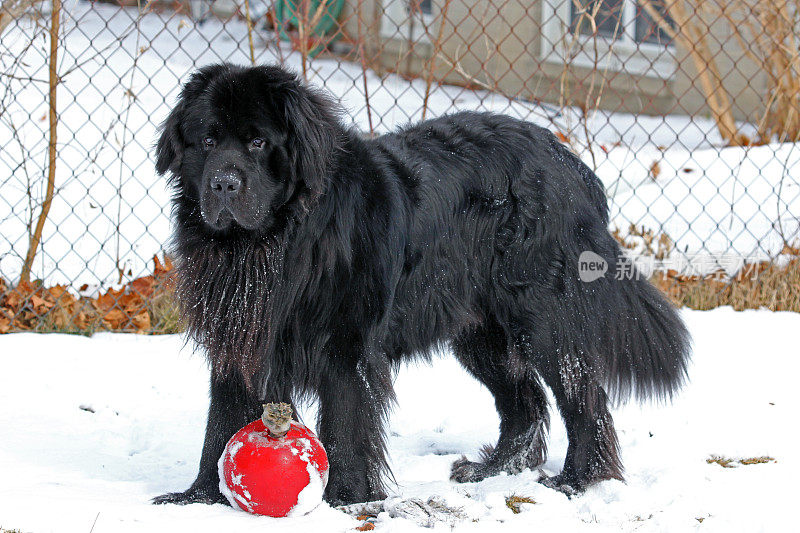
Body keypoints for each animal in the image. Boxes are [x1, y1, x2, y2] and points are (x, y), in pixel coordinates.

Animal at [153, 63, 692, 508]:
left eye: (258, 143)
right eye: (207, 142)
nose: (223, 184)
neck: (276, 242)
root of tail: (575, 166)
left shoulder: (345, 344)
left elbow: (346, 422)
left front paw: (347, 498)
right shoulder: (239, 337)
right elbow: (223, 420)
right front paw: (199, 497)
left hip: (544, 319)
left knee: (583, 396)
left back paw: (576, 481)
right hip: (481, 333)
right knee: (525, 400)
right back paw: (493, 470)